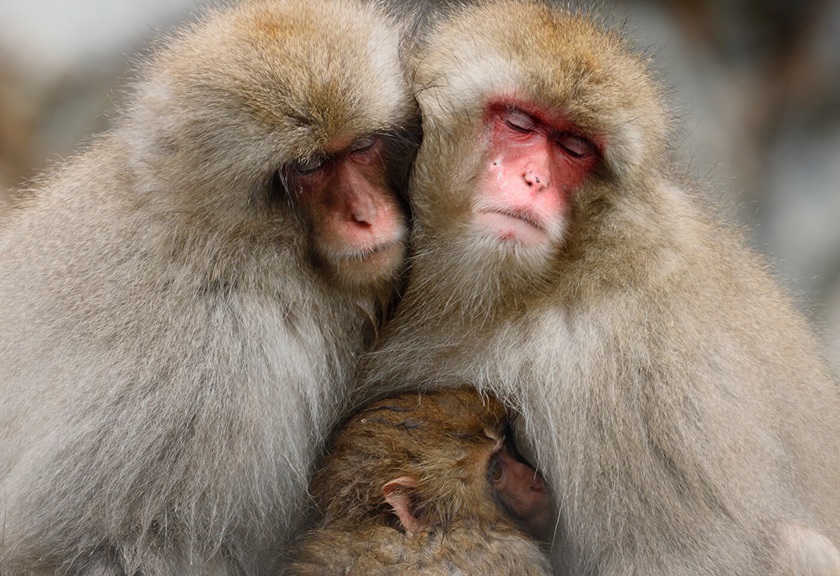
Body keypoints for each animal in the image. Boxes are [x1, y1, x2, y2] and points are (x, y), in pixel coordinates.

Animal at [0, 0, 418, 574]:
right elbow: (104, 542)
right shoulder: (208, 373)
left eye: (361, 147)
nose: (365, 216)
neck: (227, 243)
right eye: (310, 166)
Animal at [357, 1, 840, 574]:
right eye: (519, 123)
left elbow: (683, 555)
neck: (531, 289)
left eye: (575, 149)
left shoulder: (639, 372)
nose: (534, 181)